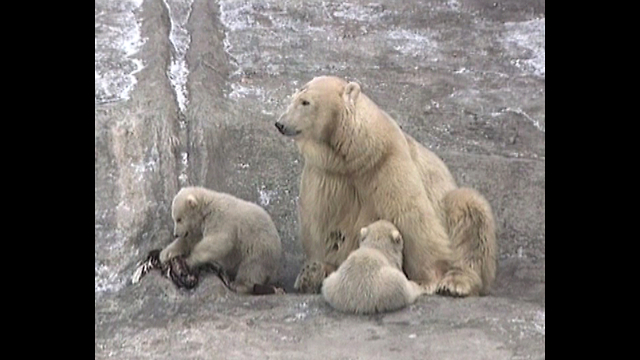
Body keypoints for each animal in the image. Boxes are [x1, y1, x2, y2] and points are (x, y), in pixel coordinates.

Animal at [274, 76, 496, 298]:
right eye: (293, 98)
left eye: (305, 102)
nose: (280, 124)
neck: (356, 155)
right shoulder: (327, 174)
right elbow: (322, 221)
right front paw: (314, 272)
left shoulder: (387, 162)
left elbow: (412, 216)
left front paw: (428, 280)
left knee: (469, 213)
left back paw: (456, 282)